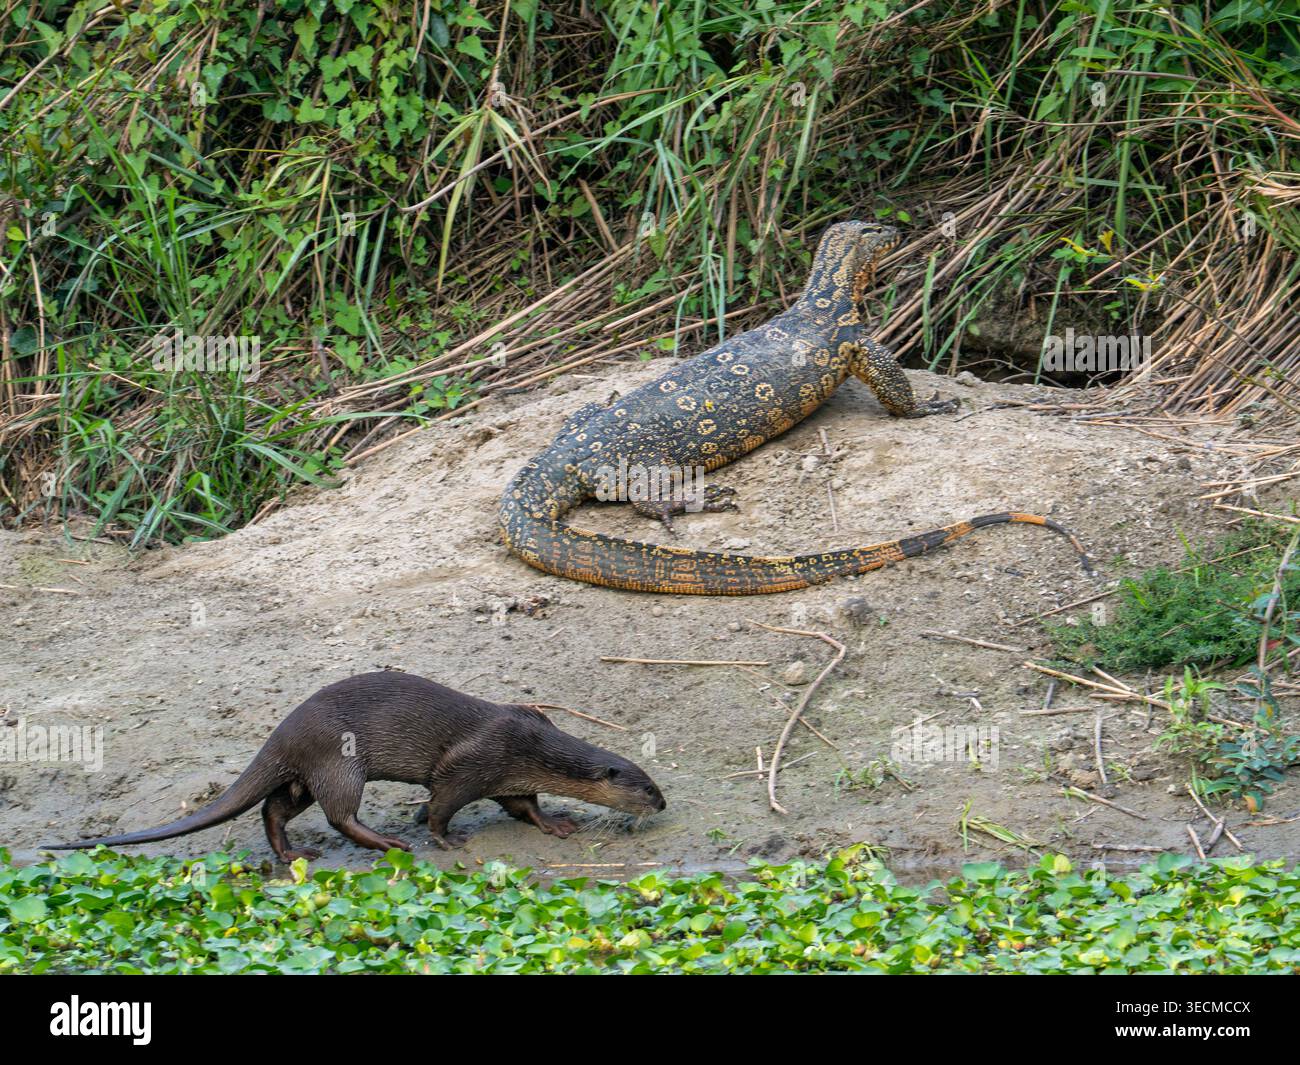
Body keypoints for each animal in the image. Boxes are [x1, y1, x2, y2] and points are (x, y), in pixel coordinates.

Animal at [46, 672, 665, 861]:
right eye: (645, 787)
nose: (662, 803)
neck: (534, 745)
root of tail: (284, 731)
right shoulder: (475, 763)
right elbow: (441, 802)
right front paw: (442, 838)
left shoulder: (508, 775)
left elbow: (525, 806)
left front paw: (557, 823)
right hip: (339, 762)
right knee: (339, 814)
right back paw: (388, 843)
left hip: (305, 774)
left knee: (276, 808)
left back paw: (292, 855)